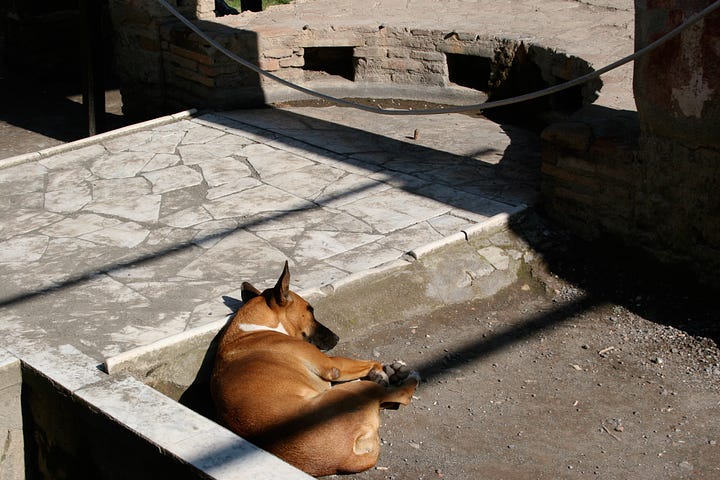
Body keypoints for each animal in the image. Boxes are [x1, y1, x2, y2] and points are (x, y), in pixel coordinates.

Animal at [211, 262, 420, 476]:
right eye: (310, 310)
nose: (337, 337)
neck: (251, 329)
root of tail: (344, 459)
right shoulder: (332, 365)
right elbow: (369, 362)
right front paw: (381, 370)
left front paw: (381, 372)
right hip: (353, 391)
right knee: (398, 395)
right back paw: (407, 377)